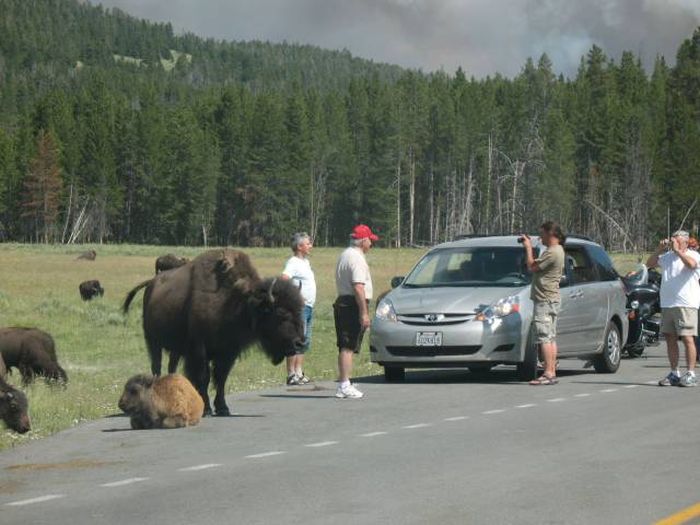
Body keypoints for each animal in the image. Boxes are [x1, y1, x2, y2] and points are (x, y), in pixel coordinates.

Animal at [123, 248, 304, 416]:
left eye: (299, 311)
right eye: (281, 315)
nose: (300, 343)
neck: (236, 302)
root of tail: (151, 284)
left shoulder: (229, 351)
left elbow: (221, 378)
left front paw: (223, 408)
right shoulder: (199, 348)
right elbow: (204, 377)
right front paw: (207, 409)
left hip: (175, 349)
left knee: (171, 367)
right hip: (153, 342)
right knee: (156, 367)